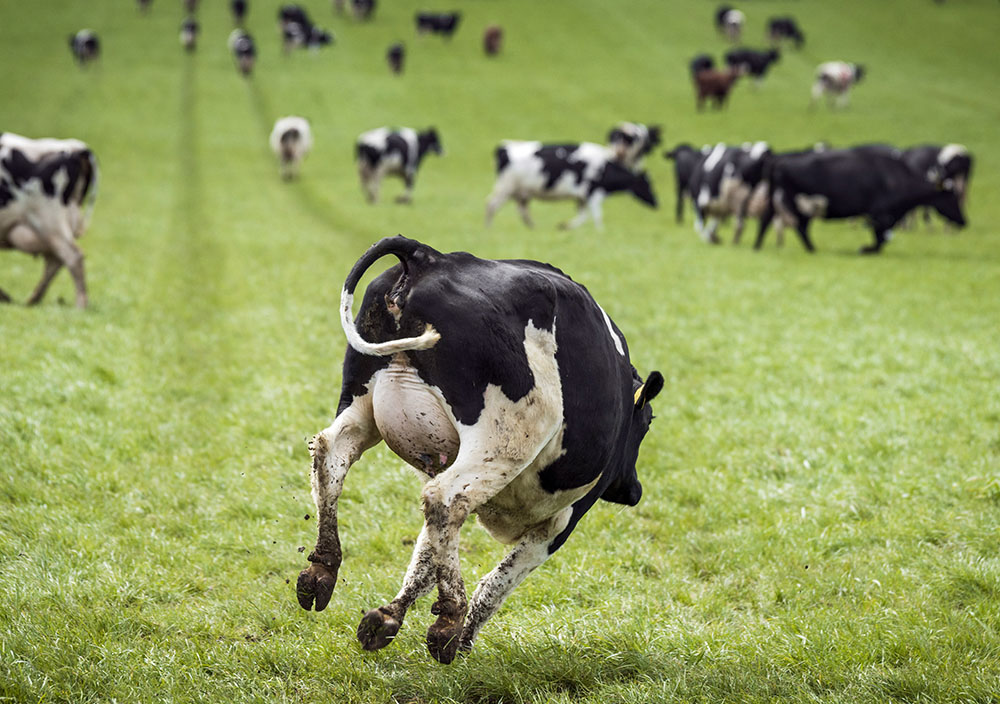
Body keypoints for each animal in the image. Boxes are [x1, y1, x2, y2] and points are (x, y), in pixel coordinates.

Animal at [0, 133, 98, 308]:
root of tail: (75, 147)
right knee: (56, 259)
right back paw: (31, 299)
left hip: (48, 219)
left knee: (72, 256)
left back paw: (80, 306)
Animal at [294, 235, 664, 664]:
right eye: (647, 422)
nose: (633, 490)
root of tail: (431, 257)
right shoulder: (560, 521)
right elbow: (498, 581)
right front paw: (462, 634)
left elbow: (426, 556)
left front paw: (388, 616)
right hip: (502, 440)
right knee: (444, 499)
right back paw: (449, 621)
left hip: (362, 404)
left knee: (331, 454)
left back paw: (321, 571)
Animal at [484, 140, 656, 231]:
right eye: (647, 185)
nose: (657, 203)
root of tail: (504, 146)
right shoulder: (592, 193)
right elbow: (596, 215)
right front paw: (600, 232)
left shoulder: (582, 197)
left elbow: (584, 215)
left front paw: (565, 226)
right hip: (506, 187)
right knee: (491, 205)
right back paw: (489, 230)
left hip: (520, 191)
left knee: (522, 210)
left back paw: (534, 228)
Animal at [756, 147, 968, 254]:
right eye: (952, 198)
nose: (964, 221)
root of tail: (779, 160)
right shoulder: (880, 214)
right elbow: (880, 238)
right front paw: (866, 249)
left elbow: (881, 238)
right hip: (799, 202)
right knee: (800, 226)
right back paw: (812, 249)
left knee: (768, 219)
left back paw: (757, 246)